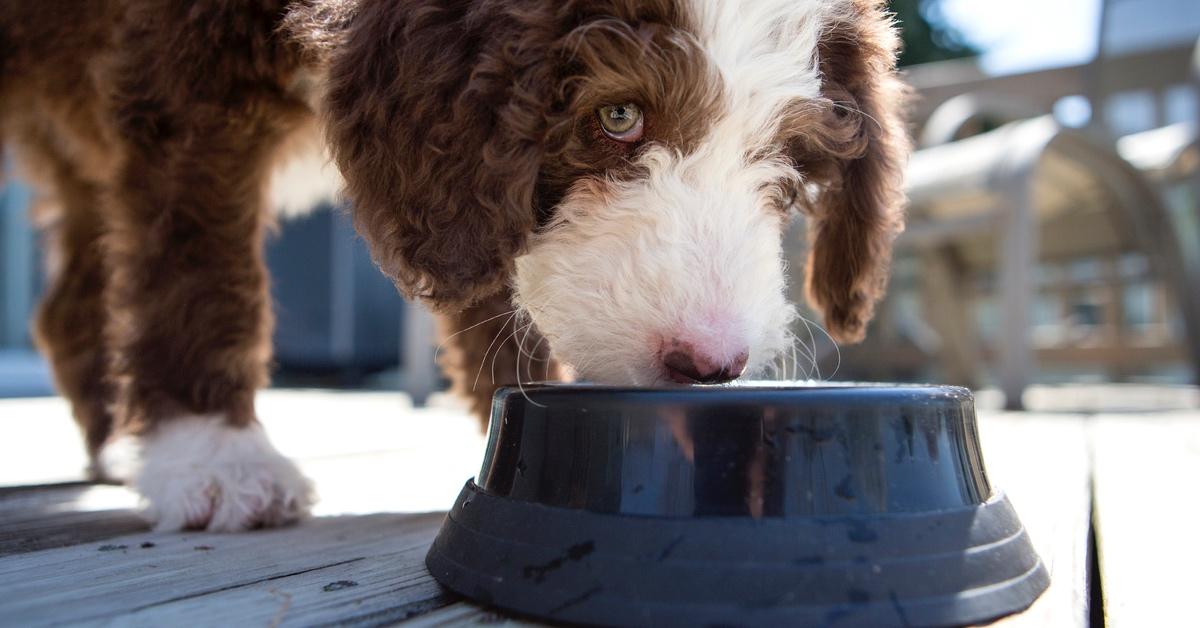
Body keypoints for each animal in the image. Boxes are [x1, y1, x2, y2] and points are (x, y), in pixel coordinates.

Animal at [0, 0, 902, 533]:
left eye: (785, 155)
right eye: (618, 115)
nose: (710, 363)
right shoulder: (187, 80)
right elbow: (197, 261)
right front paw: (214, 454)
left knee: (73, 298)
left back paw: (114, 441)